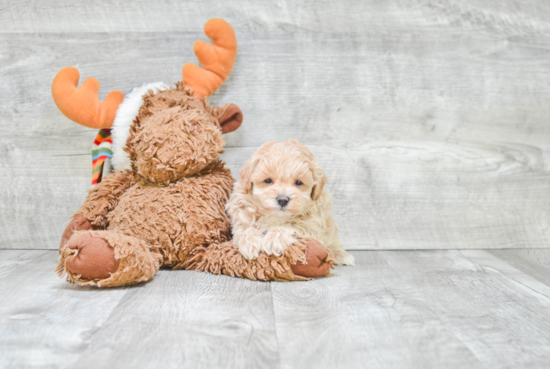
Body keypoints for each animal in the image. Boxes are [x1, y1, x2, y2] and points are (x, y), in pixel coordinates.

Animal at [226, 139, 356, 264]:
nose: (282, 199)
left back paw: (341, 255)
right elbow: (245, 226)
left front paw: (274, 240)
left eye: (298, 182)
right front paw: (250, 242)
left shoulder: (313, 223)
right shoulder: (240, 208)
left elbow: (292, 225)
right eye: (267, 180)